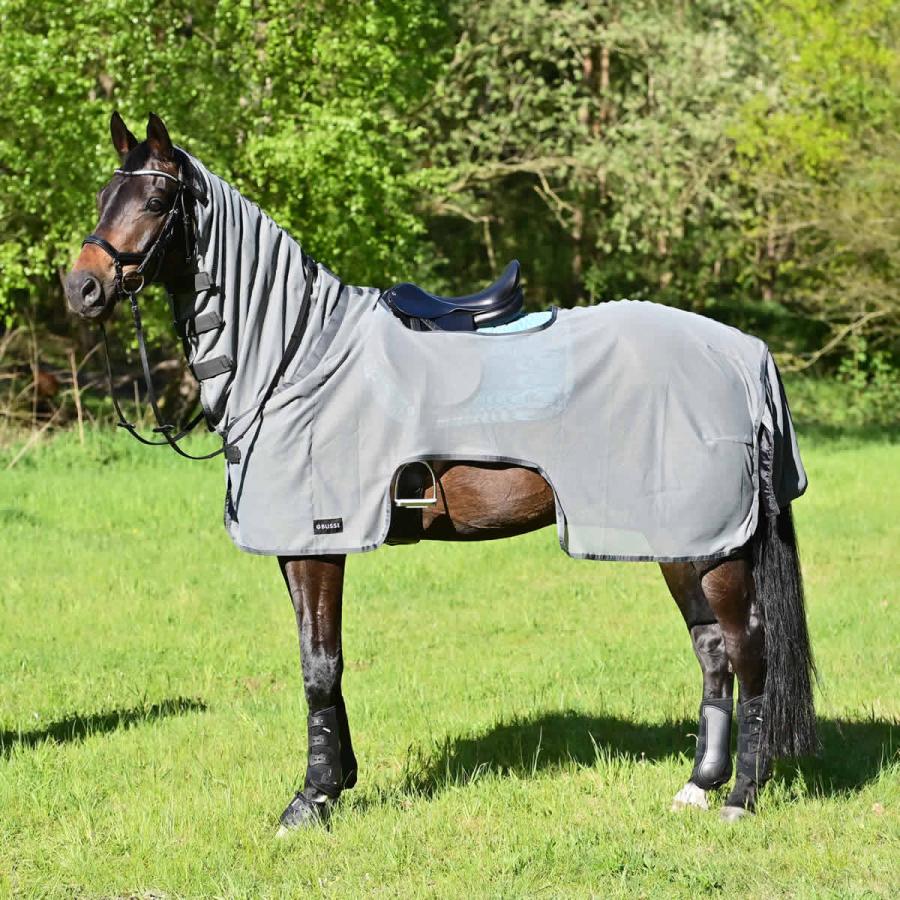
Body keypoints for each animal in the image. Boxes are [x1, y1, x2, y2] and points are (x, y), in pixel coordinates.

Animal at [64, 112, 817, 832]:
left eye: (155, 199)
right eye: (102, 196)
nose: (82, 287)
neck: (296, 356)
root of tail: (743, 354)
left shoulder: (320, 541)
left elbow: (319, 665)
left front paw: (310, 801)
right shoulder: (295, 545)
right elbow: (321, 660)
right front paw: (338, 780)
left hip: (712, 546)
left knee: (748, 650)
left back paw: (740, 797)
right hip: (680, 544)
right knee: (713, 650)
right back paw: (699, 786)